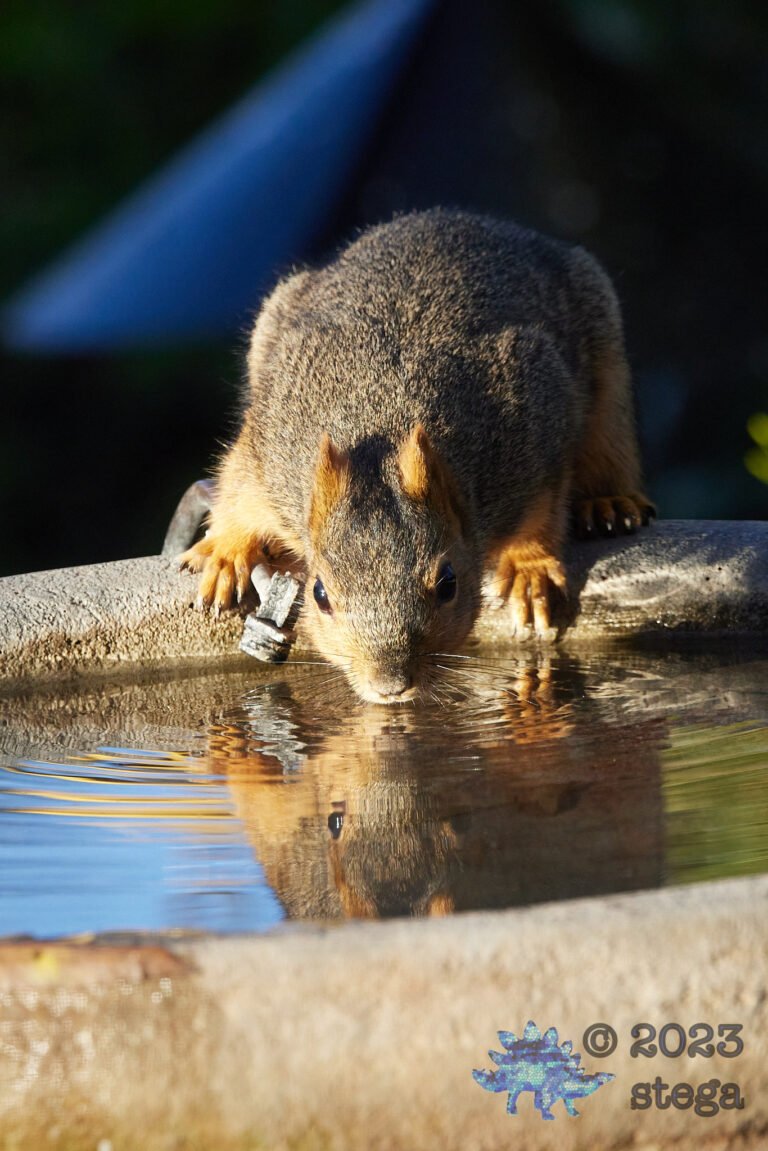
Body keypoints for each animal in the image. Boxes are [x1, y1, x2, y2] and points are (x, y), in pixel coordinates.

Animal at [180, 209, 653, 703]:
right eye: (319, 594)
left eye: (448, 583)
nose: (389, 686)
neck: (382, 425)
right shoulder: (269, 444)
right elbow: (240, 494)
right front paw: (226, 554)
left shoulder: (534, 427)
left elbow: (542, 512)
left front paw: (530, 570)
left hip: (605, 356)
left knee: (609, 443)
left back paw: (608, 502)